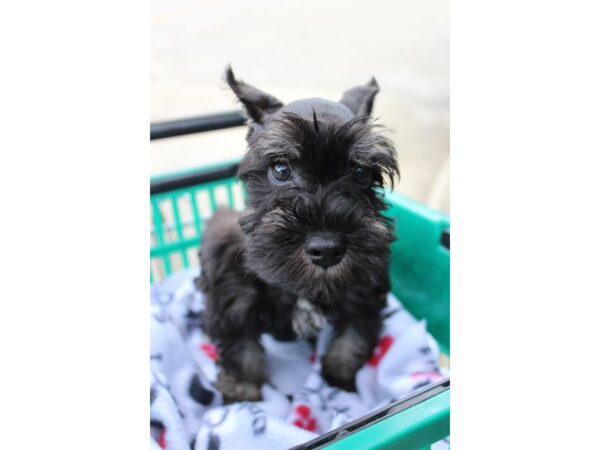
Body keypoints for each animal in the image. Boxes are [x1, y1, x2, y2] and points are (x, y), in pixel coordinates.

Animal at [197, 67, 400, 404]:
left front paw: (340, 381)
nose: (327, 249)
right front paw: (242, 395)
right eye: (281, 169)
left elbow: (350, 343)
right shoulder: (233, 298)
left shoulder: (363, 294)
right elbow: (242, 350)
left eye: (360, 173)